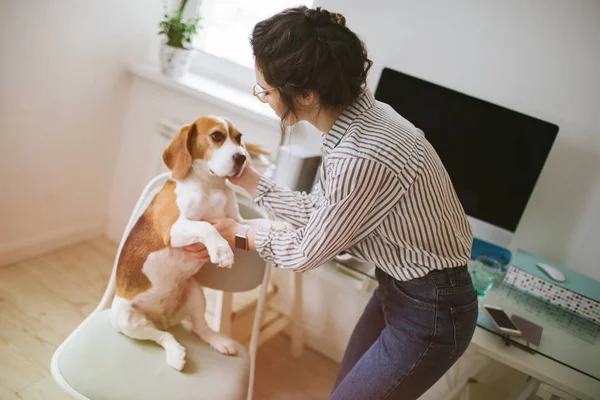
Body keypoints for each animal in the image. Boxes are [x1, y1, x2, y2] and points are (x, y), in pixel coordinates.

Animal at [110, 116, 288, 372]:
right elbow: (207, 227)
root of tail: (165, 319)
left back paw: (219, 341)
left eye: (239, 137)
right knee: (162, 336)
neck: (211, 183)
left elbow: (256, 223)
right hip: (127, 319)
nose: (242, 158)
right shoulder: (172, 229)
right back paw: (175, 353)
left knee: (200, 328)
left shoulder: (236, 220)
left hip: (195, 292)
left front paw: (279, 226)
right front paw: (222, 250)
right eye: (217, 136)